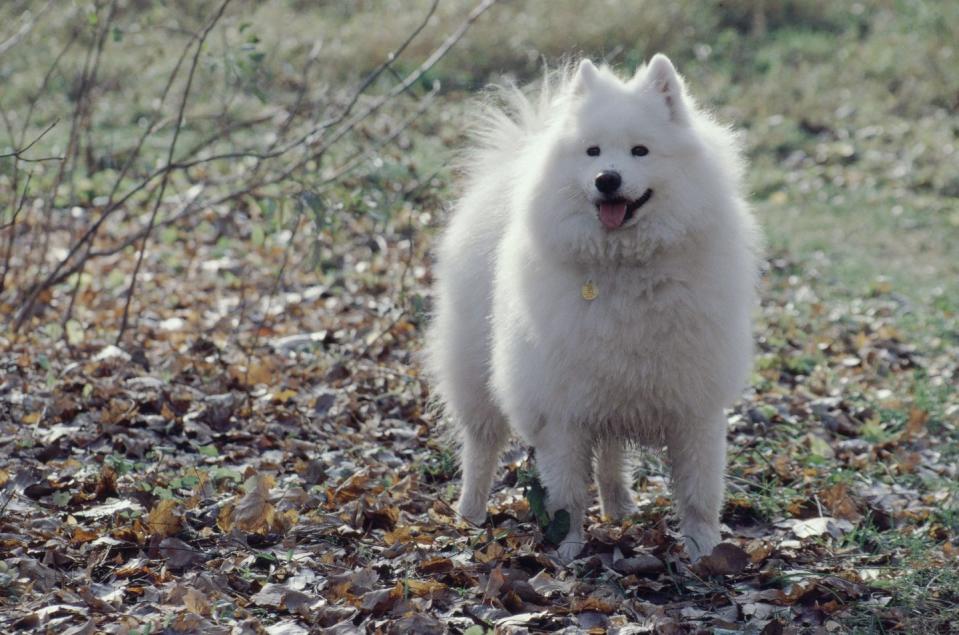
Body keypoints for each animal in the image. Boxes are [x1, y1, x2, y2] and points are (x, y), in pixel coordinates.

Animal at [424, 54, 760, 560]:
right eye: (592, 152)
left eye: (640, 151)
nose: (608, 179)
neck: (624, 267)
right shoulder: (563, 409)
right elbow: (566, 494)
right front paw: (567, 550)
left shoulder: (694, 406)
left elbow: (699, 492)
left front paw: (706, 552)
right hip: (476, 375)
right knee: (481, 445)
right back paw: (470, 513)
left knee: (610, 454)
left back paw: (619, 506)